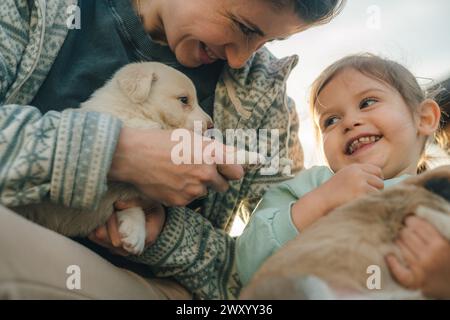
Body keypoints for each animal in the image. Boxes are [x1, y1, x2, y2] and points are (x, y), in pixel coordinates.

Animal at [10, 61, 214, 254]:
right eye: (184, 100)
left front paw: (134, 233)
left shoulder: (126, 194)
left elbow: (130, 204)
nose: (211, 125)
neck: (135, 111)